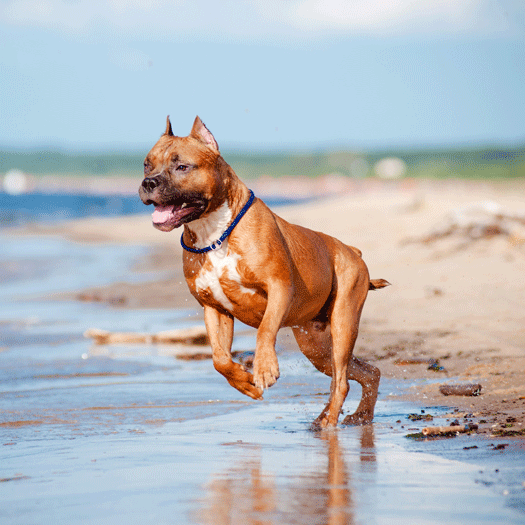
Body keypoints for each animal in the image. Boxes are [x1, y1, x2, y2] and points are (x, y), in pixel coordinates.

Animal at [139, 116, 388, 428]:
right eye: (146, 164)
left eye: (182, 166)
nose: (148, 182)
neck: (214, 232)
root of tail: (353, 251)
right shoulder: (214, 308)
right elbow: (219, 359)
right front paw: (245, 383)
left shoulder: (279, 288)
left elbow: (265, 329)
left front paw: (264, 368)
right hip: (316, 347)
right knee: (365, 373)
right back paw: (355, 415)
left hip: (343, 324)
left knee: (342, 380)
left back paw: (329, 422)